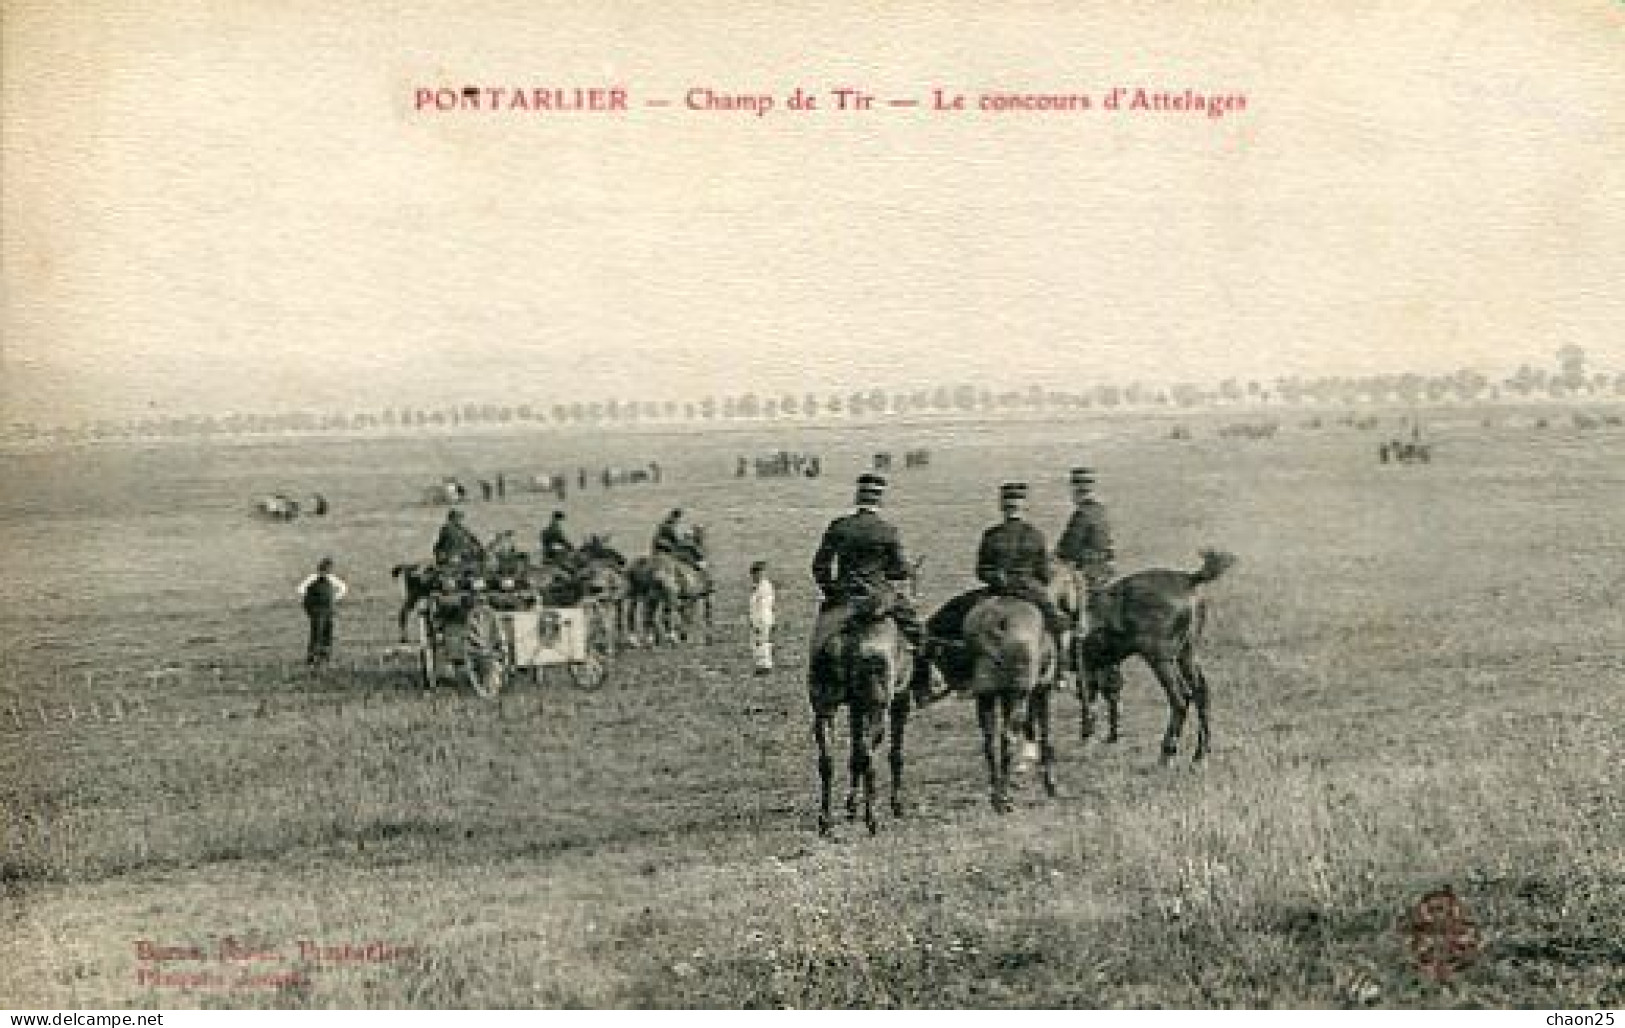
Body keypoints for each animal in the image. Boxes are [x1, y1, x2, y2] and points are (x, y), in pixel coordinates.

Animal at [809, 584, 923, 831]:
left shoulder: (855, 707)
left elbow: (853, 755)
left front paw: (851, 806)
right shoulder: (900, 701)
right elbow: (895, 754)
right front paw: (896, 805)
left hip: (824, 709)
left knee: (827, 760)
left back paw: (825, 819)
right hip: (877, 710)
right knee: (868, 756)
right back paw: (872, 819)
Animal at [955, 594, 1059, 808]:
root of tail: (996, 620)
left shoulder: (1004, 695)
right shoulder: (1041, 690)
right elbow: (1045, 733)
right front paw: (1050, 784)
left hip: (986, 693)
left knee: (988, 739)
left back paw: (996, 793)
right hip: (1019, 692)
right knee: (1007, 736)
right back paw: (1003, 798)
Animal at [1072, 548, 1235, 756]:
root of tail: (1188, 579)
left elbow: (1091, 696)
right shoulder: (1097, 664)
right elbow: (1097, 694)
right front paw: (1102, 737)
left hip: (1160, 659)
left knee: (1180, 698)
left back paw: (1168, 751)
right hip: (1186, 653)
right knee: (1201, 692)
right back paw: (1199, 754)